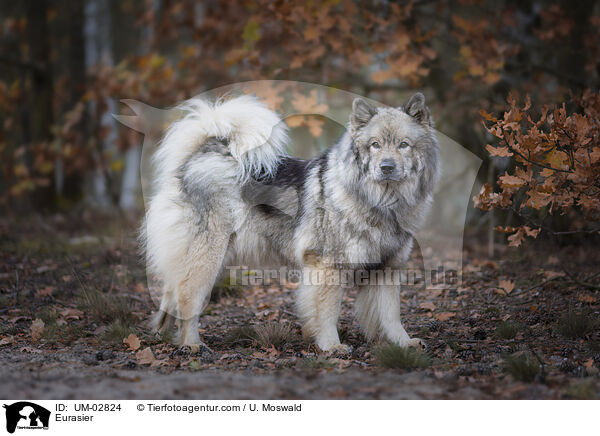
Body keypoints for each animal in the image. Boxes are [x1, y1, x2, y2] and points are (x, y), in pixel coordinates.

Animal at [142, 93, 440, 354]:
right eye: (375, 145)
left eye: (403, 145)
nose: (387, 167)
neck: (382, 202)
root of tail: (199, 156)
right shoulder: (328, 267)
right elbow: (327, 312)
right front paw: (331, 346)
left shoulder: (387, 268)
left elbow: (390, 316)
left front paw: (403, 343)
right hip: (208, 256)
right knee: (187, 297)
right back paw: (191, 344)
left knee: (170, 293)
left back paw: (163, 335)